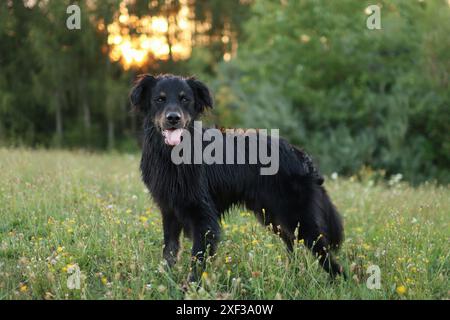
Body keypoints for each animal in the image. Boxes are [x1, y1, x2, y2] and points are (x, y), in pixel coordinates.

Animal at [130, 74, 344, 282]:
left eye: (185, 99)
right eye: (159, 99)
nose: (173, 118)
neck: (173, 155)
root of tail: (301, 155)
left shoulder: (204, 217)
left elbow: (197, 259)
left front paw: (190, 287)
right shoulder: (169, 211)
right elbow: (169, 251)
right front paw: (164, 279)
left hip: (297, 216)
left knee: (325, 254)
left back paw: (338, 281)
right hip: (274, 216)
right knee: (292, 243)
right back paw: (291, 274)